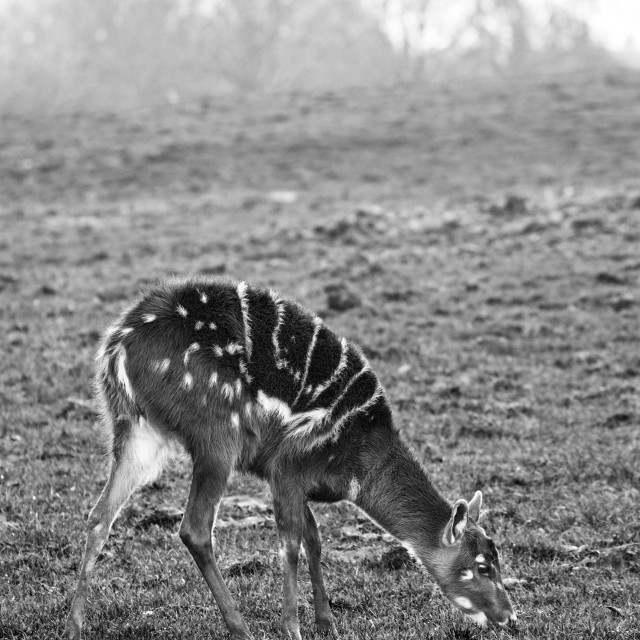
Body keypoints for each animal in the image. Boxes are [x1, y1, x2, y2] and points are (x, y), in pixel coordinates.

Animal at [66, 276, 516, 640]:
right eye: (482, 566)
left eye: (497, 558)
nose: (510, 616)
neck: (359, 460)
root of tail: (115, 349)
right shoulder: (286, 467)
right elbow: (291, 543)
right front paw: (293, 627)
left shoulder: (293, 479)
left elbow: (315, 539)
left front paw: (328, 622)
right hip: (217, 435)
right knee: (194, 527)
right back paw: (241, 627)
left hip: (135, 430)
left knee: (99, 515)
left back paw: (75, 625)